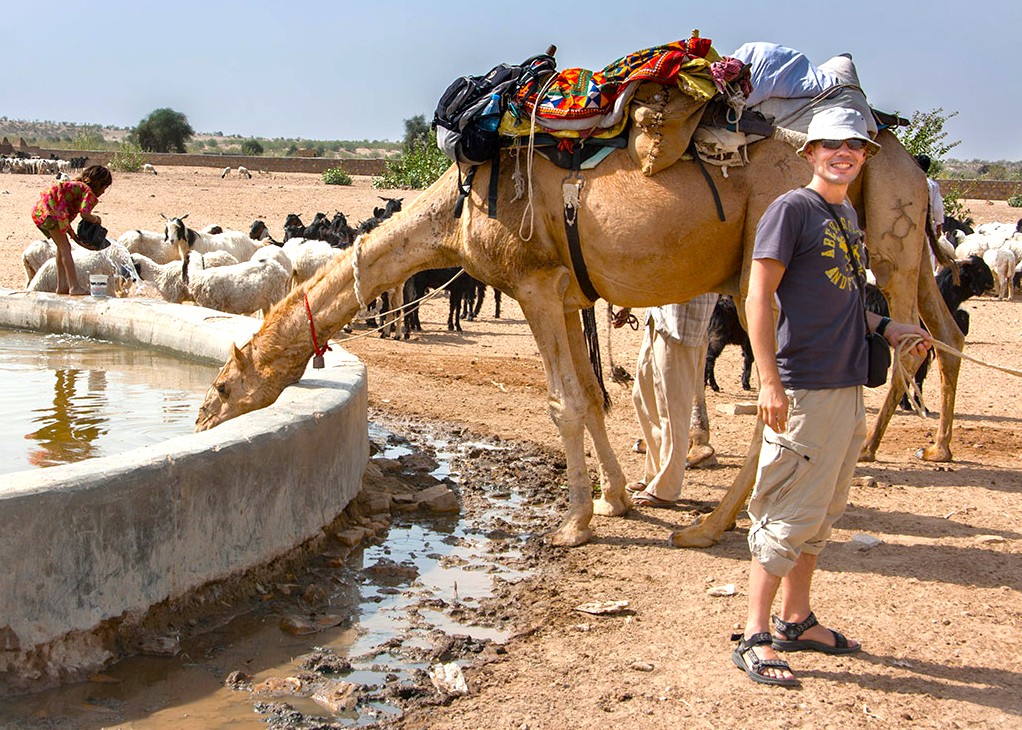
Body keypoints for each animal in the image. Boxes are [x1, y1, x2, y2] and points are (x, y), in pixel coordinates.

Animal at [196, 94, 965, 548]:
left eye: (226, 384)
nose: (200, 418)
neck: (453, 211)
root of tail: (888, 151)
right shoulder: (568, 296)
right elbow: (593, 395)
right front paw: (618, 500)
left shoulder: (533, 283)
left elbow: (562, 402)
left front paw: (572, 525)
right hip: (891, 249)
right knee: (925, 340)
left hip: (772, 262)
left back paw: (715, 527)